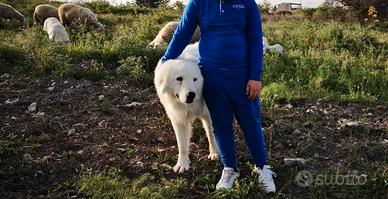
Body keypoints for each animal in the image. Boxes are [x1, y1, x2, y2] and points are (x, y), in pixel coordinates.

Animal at [156, 43, 220, 173]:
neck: (188, 106)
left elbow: (211, 135)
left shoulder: (209, 114)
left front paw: (214, 153)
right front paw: (182, 164)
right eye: (179, 78)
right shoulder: (178, 119)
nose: (191, 95)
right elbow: (182, 144)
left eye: (195, 79)